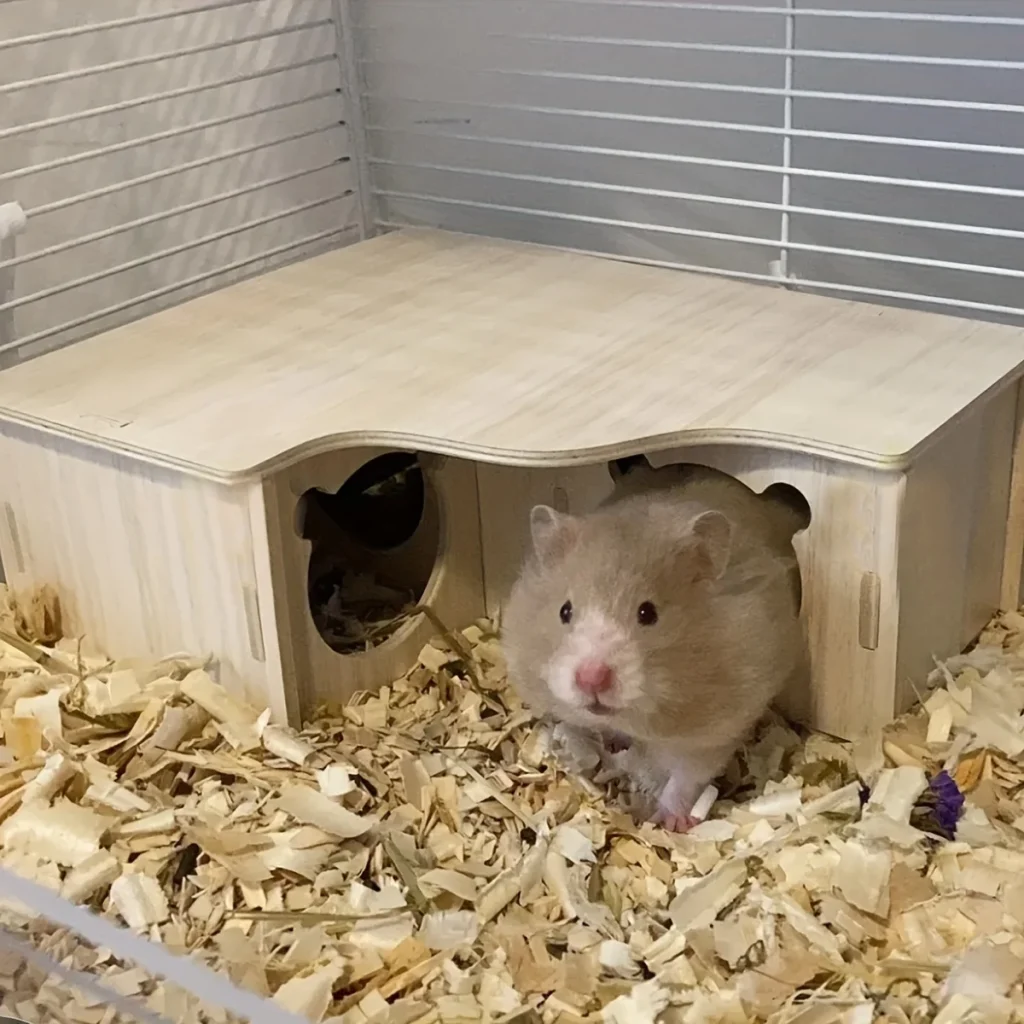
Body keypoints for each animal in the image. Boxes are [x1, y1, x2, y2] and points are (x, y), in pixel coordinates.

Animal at [501, 461, 809, 832]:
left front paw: (670, 823)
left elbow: (687, 777)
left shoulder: (714, 729)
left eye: (648, 613)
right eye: (565, 611)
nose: (591, 680)